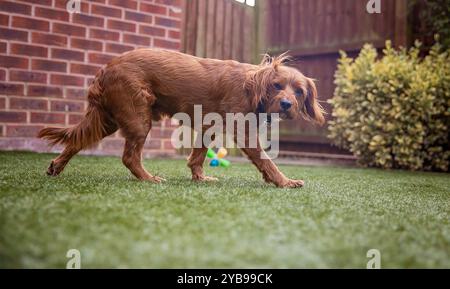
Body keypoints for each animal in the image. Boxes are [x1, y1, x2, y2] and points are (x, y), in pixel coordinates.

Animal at [36, 49, 324, 188]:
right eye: (277, 86)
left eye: (299, 91)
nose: (287, 104)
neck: (253, 86)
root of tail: (105, 69)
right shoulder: (242, 131)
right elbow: (267, 161)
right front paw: (285, 182)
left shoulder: (209, 127)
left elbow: (197, 157)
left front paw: (200, 179)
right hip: (138, 118)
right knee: (129, 157)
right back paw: (148, 179)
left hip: (109, 119)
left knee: (78, 140)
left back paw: (56, 167)